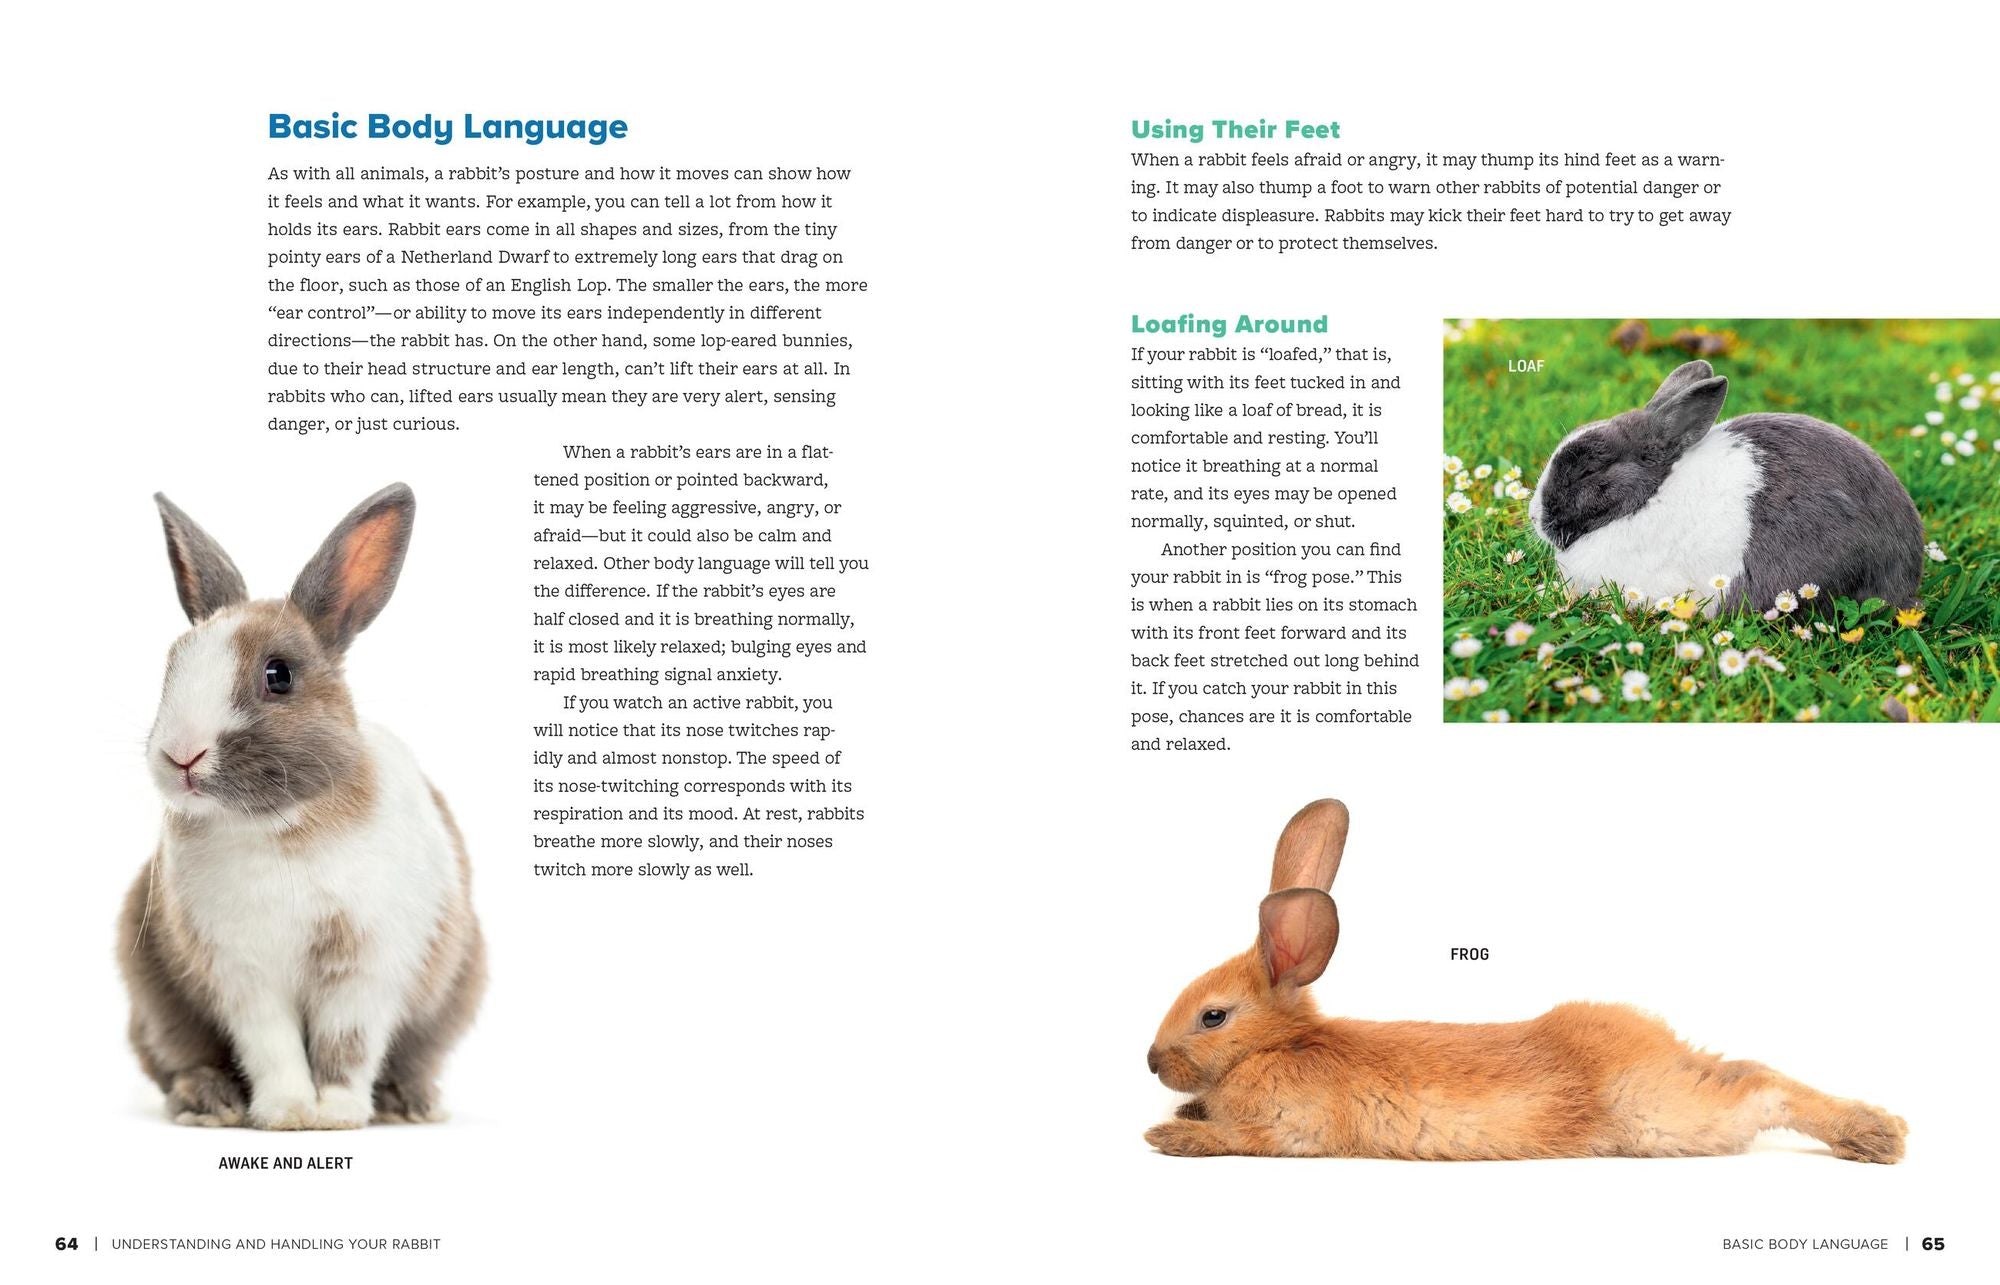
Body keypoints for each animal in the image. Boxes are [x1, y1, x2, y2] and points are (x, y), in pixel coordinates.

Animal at [118, 483, 485, 1130]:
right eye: (172, 666)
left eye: (278, 675)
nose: (181, 755)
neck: (277, 829)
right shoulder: (243, 976)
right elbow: (273, 1047)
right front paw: (289, 1112)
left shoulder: (365, 969)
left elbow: (347, 1046)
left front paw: (335, 1113)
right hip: (155, 1004)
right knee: (180, 1058)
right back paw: (208, 1103)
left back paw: (411, 1103)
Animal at [1144, 799, 1905, 1162]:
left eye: (1213, 1016)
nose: (1151, 1062)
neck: (1279, 1046)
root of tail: (1662, 1051)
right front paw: (1181, 1118)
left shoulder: (1290, 1130)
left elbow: (1240, 1140)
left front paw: (1169, 1138)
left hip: (1662, 1116)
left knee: (1761, 1091)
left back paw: (1876, 1135)